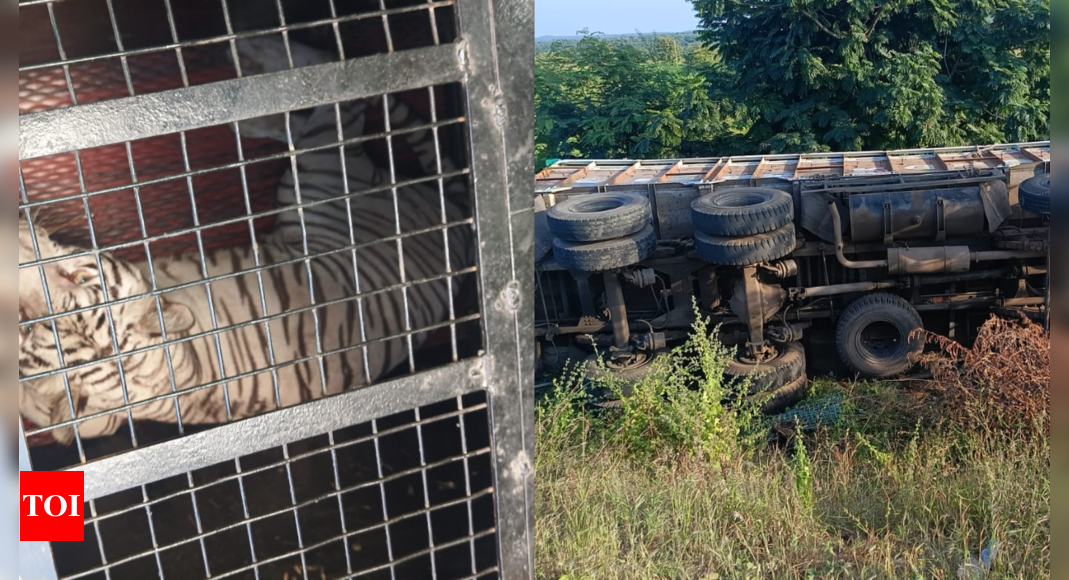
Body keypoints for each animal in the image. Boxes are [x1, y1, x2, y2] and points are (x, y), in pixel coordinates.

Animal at [16, 38, 474, 444]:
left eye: (78, 278)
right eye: (30, 326)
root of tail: (456, 214)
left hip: (317, 172)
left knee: (334, 84)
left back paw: (254, 63)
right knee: (311, 110)